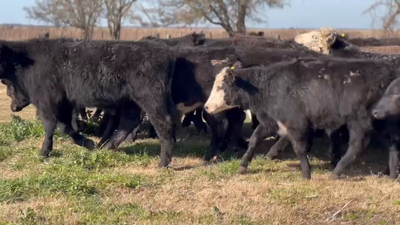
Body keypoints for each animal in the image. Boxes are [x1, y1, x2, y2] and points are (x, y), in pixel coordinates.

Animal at [0, 38, 178, 168]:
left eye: (9, 85)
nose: (13, 107)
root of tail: (165, 53)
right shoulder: (64, 103)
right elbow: (66, 126)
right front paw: (88, 143)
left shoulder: (48, 102)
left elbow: (51, 126)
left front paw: (45, 151)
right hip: (131, 101)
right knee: (128, 122)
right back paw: (106, 147)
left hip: (150, 98)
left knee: (163, 123)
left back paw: (163, 162)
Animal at [205, 57, 398, 179]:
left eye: (221, 86)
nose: (206, 107)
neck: (268, 86)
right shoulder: (270, 121)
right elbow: (254, 140)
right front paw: (243, 165)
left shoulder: (295, 123)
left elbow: (299, 148)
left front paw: (306, 173)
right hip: (379, 122)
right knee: (392, 144)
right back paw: (391, 174)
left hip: (360, 122)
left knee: (357, 146)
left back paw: (336, 172)